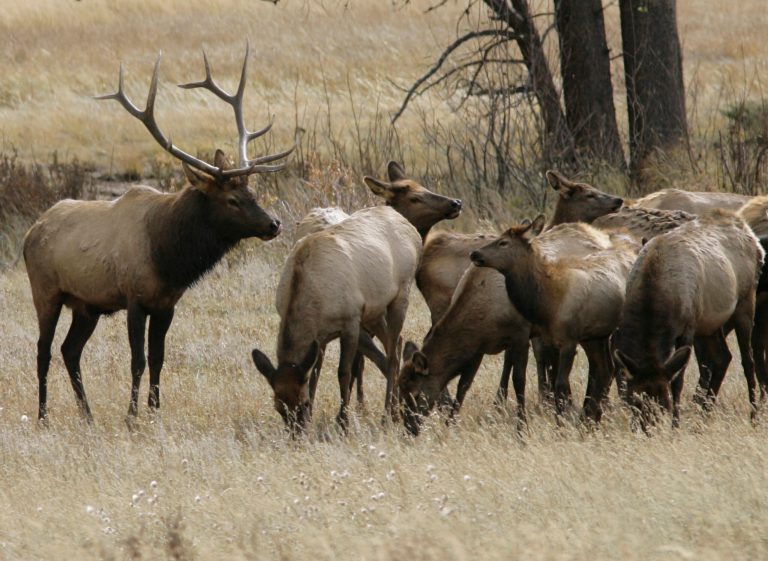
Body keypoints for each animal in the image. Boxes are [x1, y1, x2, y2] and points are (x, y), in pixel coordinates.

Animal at [24, 48, 293, 425]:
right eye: (232, 200)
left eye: (252, 191)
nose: (274, 224)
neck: (168, 258)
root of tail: (31, 232)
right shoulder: (135, 297)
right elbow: (137, 360)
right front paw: (131, 417)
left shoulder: (167, 304)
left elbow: (158, 359)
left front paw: (154, 412)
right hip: (46, 290)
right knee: (43, 350)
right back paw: (43, 416)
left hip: (87, 305)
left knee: (70, 350)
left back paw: (87, 415)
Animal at [613, 211, 764, 429]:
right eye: (635, 400)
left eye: (664, 403)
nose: (648, 429)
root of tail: (749, 232)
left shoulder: (688, 327)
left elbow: (678, 381)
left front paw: (675, 425)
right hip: (709, 322)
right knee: (723, 357)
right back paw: (705, 414)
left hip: (745, 302)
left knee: (748, 361)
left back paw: (753, 415)